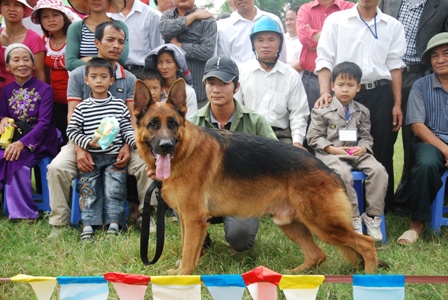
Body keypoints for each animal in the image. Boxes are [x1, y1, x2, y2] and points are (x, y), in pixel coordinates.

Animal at [134, 78, 382, 276]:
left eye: (173, 124)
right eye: (153, 124)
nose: (165, 146)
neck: (184, 151)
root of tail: (330, 171)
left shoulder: (194, 219)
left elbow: (187, 255)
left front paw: (182, 278)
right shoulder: (187, 219)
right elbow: (187, 250)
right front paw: (179, 272)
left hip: (324, 225)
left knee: (366, 244)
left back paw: (368, 279)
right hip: (290, 224)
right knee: (317, 255)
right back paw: (292, 274)